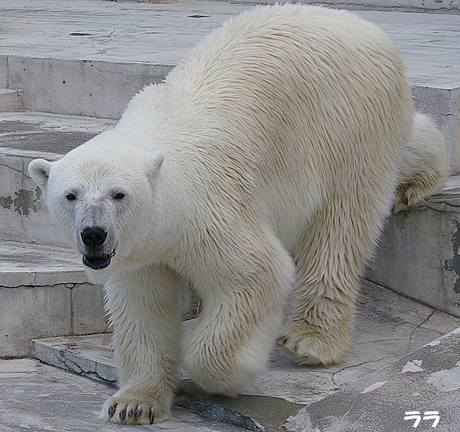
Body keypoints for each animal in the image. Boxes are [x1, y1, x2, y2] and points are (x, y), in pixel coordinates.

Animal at [27, 4, 446, 426]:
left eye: (119, 194)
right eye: (70, 195)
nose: (93, 233)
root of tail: (359, 24)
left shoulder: (210, 212)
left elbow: (255, 274)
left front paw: (229, 373)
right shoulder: (140, 250)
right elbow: (142, 308)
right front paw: (134, 403)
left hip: (348, 119)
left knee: (341, 223)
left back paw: (309, 339)